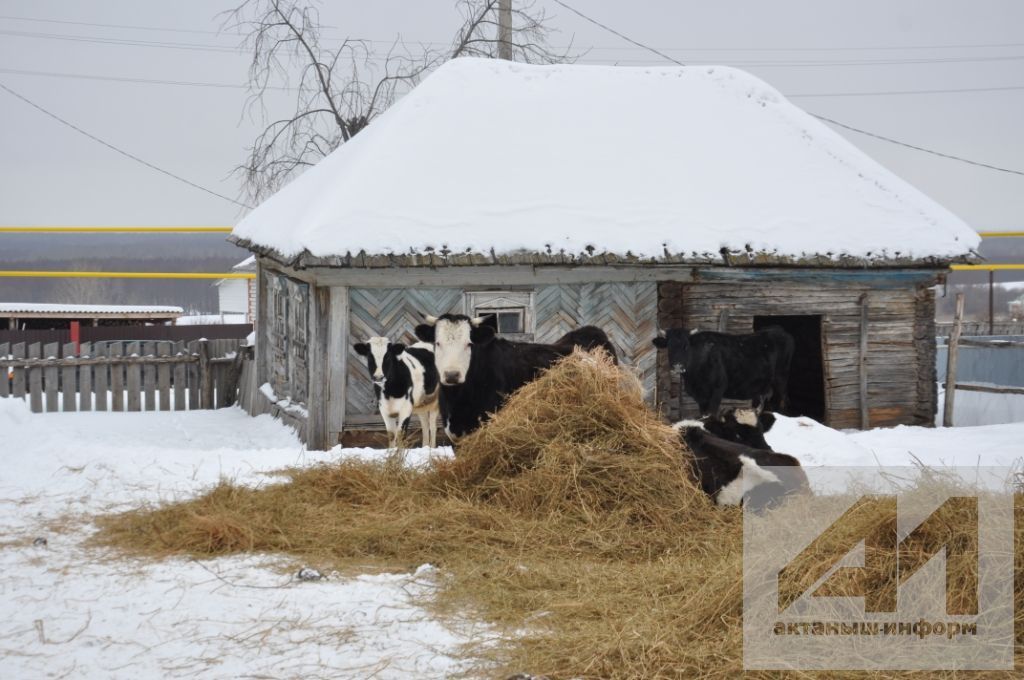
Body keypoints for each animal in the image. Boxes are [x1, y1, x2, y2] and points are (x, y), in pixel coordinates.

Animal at [651, 327, 794, 417]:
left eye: (686, 346)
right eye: (669, 346)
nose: (678, 366)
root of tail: (781, 332)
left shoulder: (718, 389)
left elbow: (712, 413)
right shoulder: (700, 396)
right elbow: (703, 414)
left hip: (781, 377)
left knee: (784, 400)